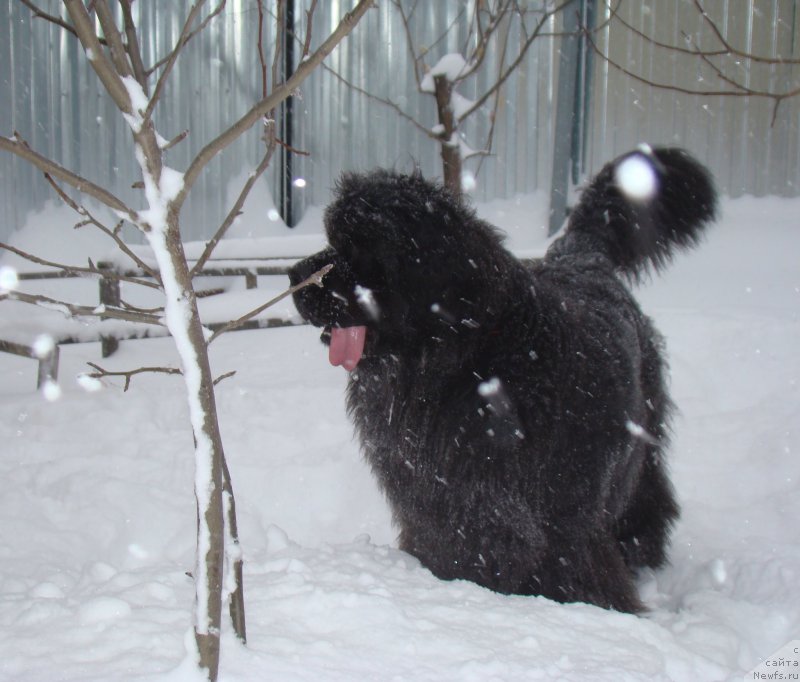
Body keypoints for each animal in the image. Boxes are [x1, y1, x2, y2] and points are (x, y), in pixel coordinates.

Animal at [290, 149, 716, 612]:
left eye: (357, 249)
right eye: (333, 238)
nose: (293, 274)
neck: (470, 365)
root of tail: (581, 257)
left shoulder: (563, 523)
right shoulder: (436, 503)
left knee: (647, 496)